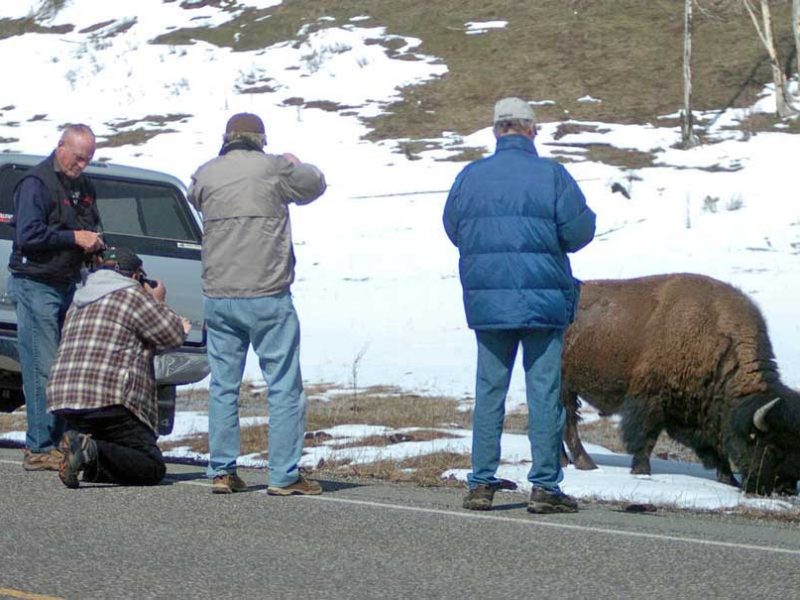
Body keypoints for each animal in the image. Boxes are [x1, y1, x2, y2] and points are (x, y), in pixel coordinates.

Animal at [560, 274, 800, 494]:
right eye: (772, 447)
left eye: (796, 447)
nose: (786, 488)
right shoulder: (650, 400)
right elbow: (645, 438)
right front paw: (642, 472)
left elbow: (717, 449)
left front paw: (730, 480)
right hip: (565, 387)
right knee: (568, 423)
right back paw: (586, 464)